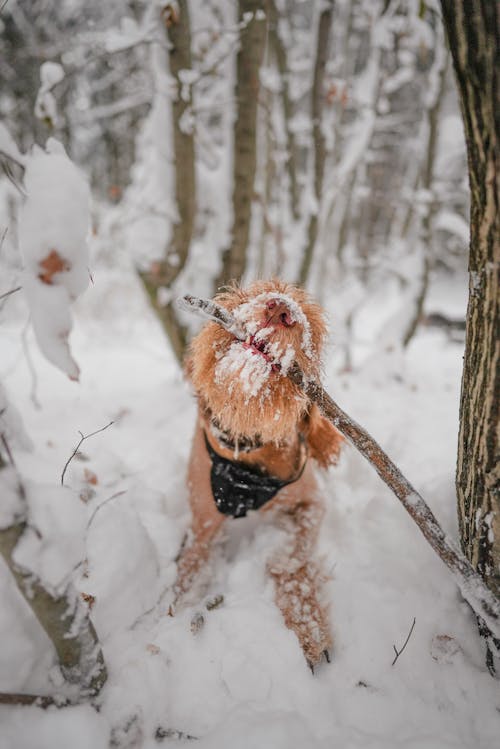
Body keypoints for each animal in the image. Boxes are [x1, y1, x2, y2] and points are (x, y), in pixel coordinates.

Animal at [173, 280, 344, 668]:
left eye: (310, 328)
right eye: (249, 294)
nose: (280, 309)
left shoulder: (311, 502)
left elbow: (289, 558)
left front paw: (307, 625)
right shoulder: (202, 525)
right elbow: (187, 578)